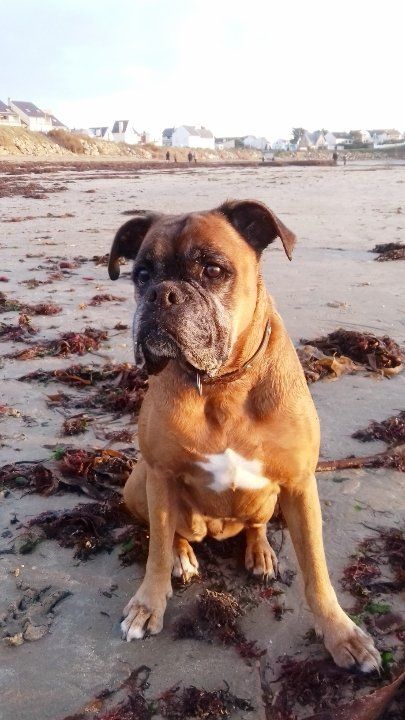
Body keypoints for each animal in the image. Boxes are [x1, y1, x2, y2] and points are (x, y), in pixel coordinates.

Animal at [108, 200, 380, 672]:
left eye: (213, 270)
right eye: (141, 275)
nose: (162, 294)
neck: (222, 385)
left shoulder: (300, 485)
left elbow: (316, 570)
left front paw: (340, 633)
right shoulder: (160, 474)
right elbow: (156, 549)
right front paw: (148, 604)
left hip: (270, 499)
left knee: (256, 523)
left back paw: (261, 550)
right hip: (138, 482)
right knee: (172, 532)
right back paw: (183, 555)